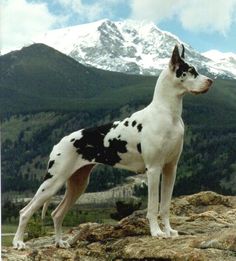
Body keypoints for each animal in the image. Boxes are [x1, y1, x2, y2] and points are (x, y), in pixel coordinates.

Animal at [12, 44, 213, 248]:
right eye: (190, 71)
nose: (211, 81)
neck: (168, 113)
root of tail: (58, 144)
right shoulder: (154, 169)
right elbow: (152, 207)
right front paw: (156, 232)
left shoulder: (170, 169)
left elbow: (164, 206)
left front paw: (169, 231)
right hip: (53, 181)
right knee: (25, 212)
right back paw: (19, 242)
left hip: (78, 184)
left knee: (56, 213)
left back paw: (60, 242)